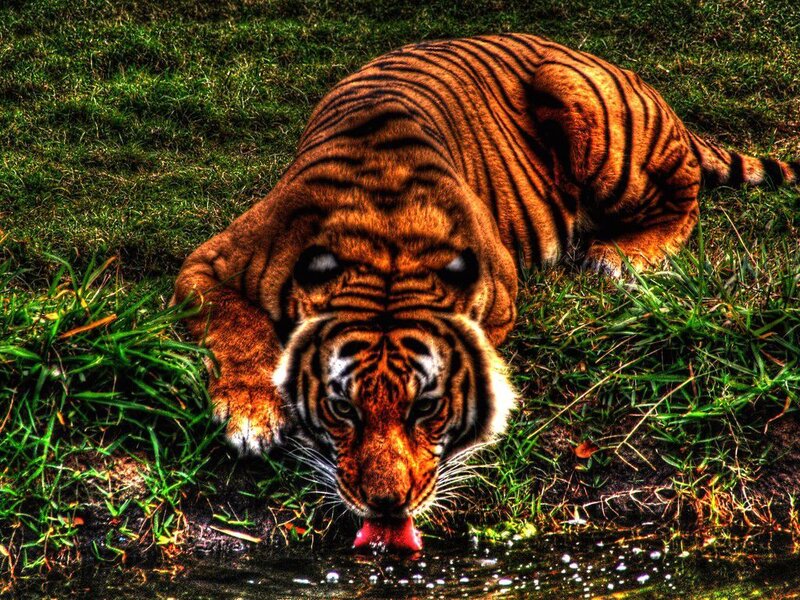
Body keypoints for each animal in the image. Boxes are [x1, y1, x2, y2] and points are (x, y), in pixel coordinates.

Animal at [174, 33, 799, 531]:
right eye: (342, 410)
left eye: (426, 409)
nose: (388, 507)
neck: (384, 241)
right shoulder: (207, 264)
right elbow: (240, 326)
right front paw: (252, 416)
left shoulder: (497, 297)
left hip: (585, 108)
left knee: (685, 200)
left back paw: (622, 257)